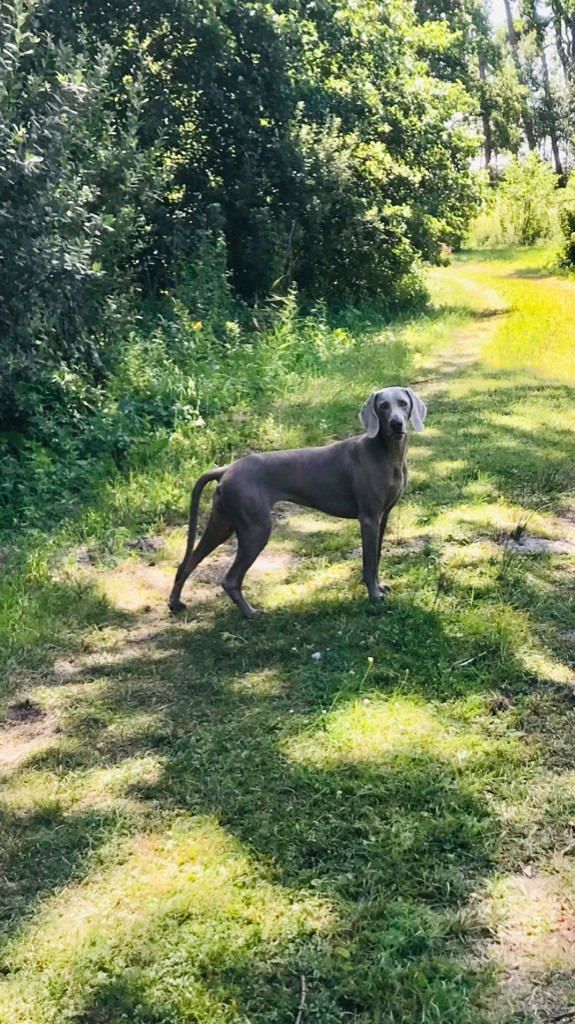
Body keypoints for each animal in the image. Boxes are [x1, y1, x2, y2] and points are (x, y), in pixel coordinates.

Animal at [167, 385, 423, 614]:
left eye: (403, 403)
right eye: (383, 406)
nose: (397, 424)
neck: (387, 454)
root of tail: (226, 469)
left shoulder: (383, 516)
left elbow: (377, 557)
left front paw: (379, 586)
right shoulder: (368, 518)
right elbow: (369, 563)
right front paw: (373, 595)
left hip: (223, 524)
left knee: (187, 563)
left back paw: (175, 603)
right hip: (256, 529)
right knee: (230, 579)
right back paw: (251, 612)